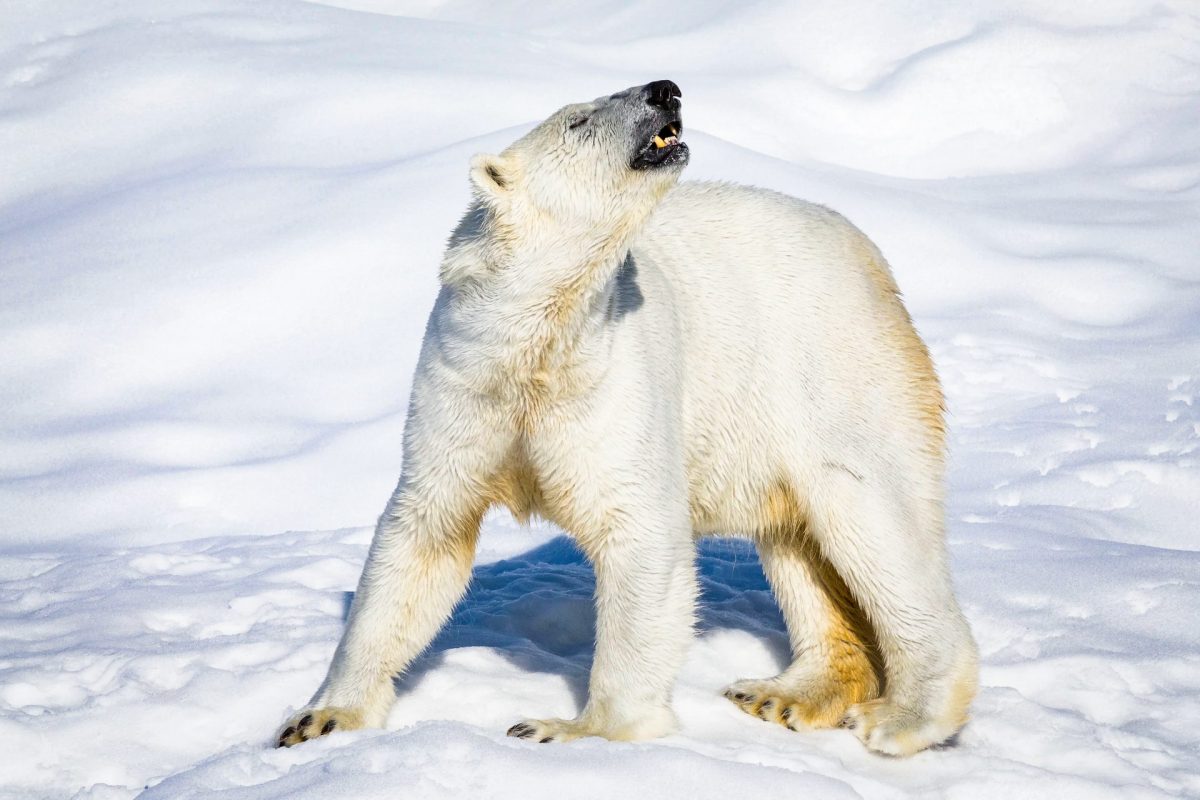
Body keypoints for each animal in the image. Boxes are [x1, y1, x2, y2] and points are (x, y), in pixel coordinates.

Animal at [277, 80, 978, 756]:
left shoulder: (616, 381)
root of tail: (869, 257)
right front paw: (318, 721)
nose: (665, 89)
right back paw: (784, 695)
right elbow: (423, 536)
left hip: (834, 374)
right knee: (798, 543)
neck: (538, 345)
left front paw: (566, 730)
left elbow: (640, 533)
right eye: (579, 120)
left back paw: (903, 718)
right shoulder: (464, 386)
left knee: (873, 520)